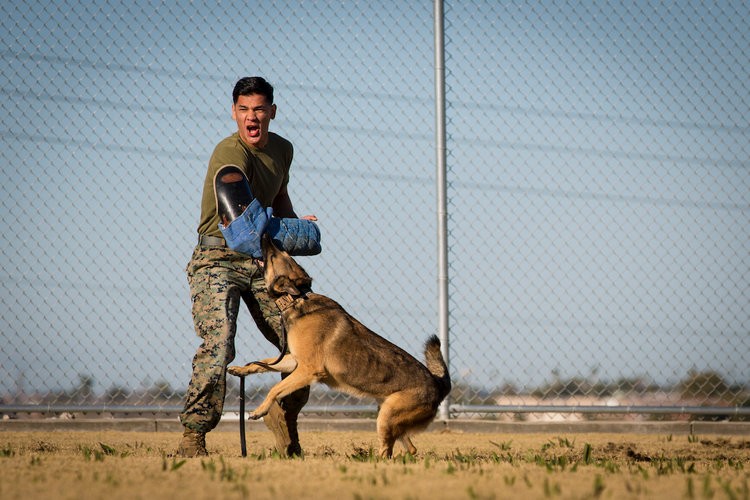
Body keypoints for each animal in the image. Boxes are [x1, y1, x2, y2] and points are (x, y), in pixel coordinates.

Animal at [228, 234, 452, 458]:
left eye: (275, 255)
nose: (266, 235)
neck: (296, 299)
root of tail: (438, 385)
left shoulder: (308, 370)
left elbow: (275, 389)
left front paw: (259, 410)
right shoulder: (295, 362)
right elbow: (263, 363)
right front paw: (240, 369)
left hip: (387, 417)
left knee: (387, 450)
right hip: (387, 413)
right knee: (409, 447)